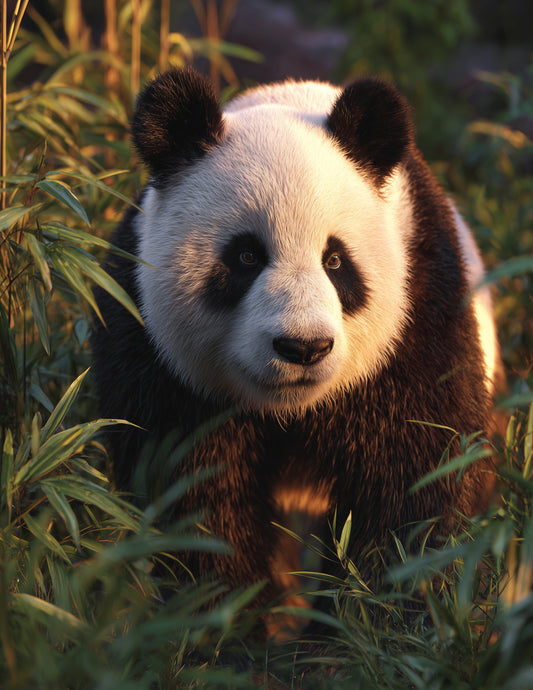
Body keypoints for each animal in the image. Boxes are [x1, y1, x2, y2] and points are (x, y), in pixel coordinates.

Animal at [92, 67, 502, 624]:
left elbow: (418, 478)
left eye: (336, 260)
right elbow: (192, 487)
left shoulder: (419, 316)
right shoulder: (155, 351)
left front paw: (373, 618)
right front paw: (233, 618)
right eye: (246, 256)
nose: (303, 347)